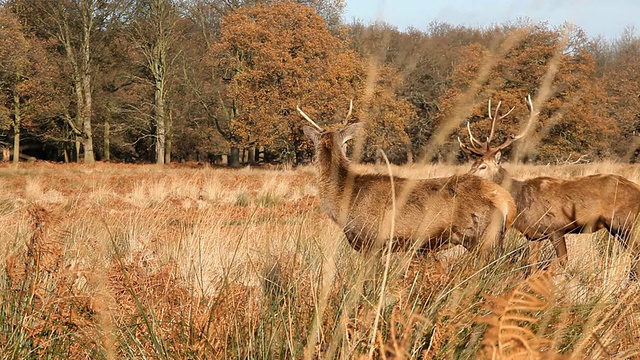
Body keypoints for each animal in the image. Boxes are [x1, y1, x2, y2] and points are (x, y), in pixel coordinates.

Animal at [458, 96, 640, 278]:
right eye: (473, 163)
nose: (464, 178)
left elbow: (562, 262)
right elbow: (531, 265)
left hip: (624, 222)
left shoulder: (556, 228)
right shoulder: (534, 235)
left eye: (483, 166)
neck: (520, 202)